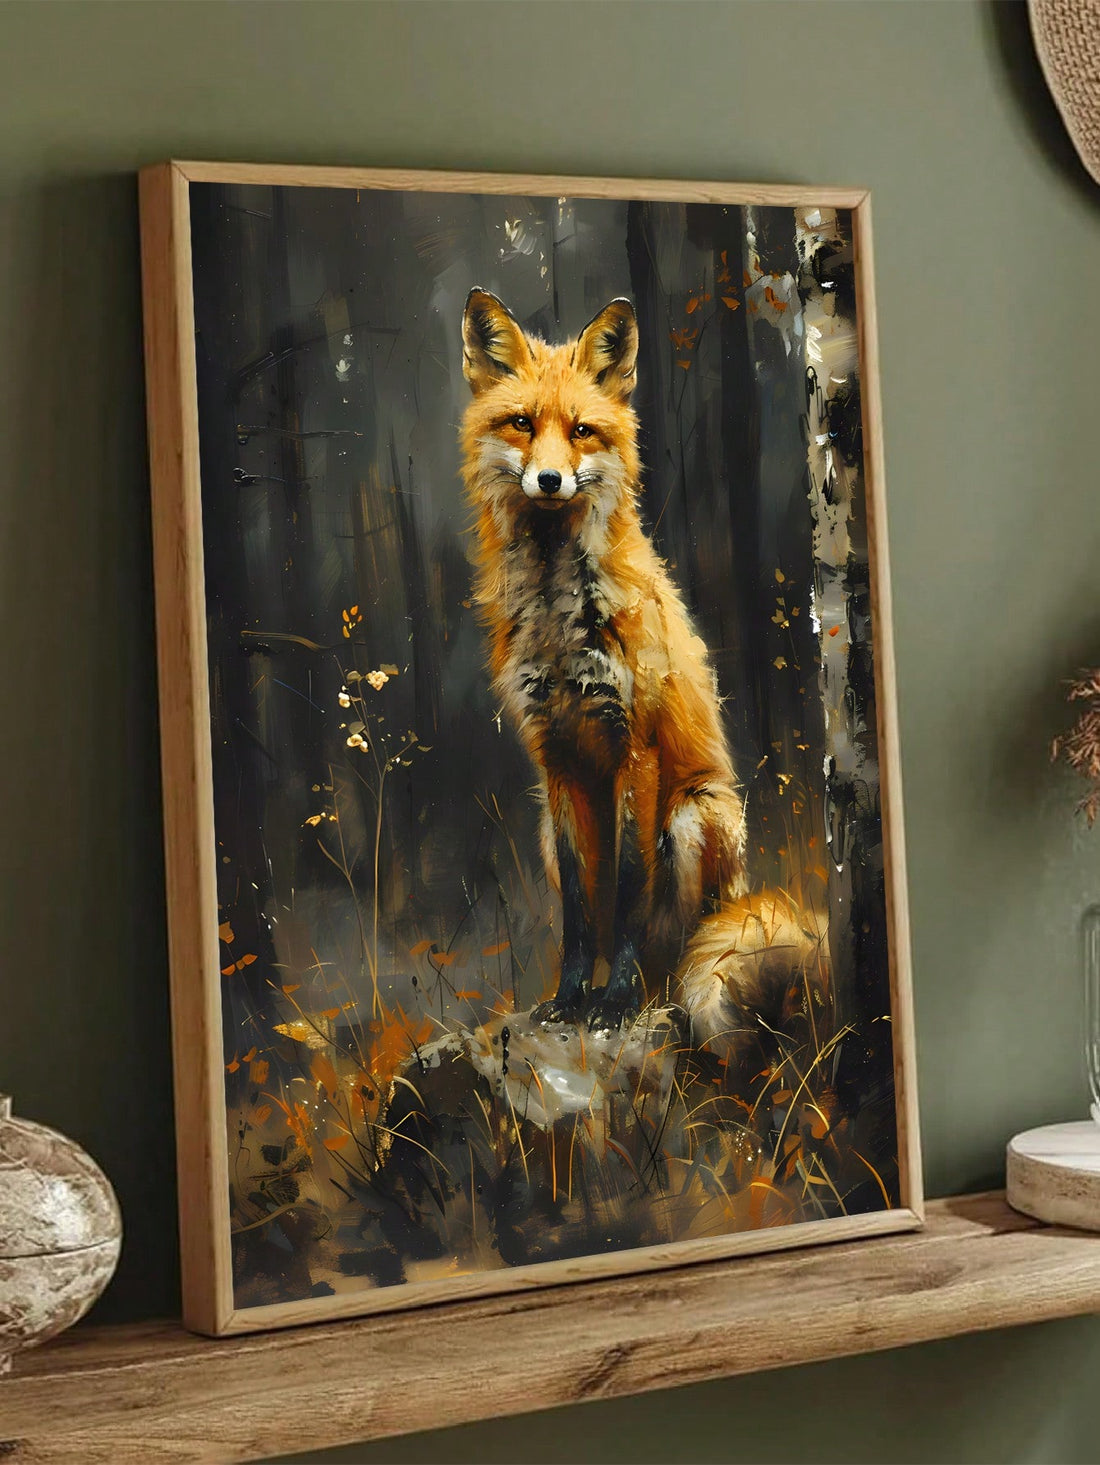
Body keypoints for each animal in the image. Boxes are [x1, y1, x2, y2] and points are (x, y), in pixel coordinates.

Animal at [459, 288, 825, 1055]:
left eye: (582, 431)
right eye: (522, 423)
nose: (549, 479)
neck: (558, 616)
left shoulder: (636, 746)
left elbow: (629, 889)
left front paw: (615, 1000)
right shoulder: (557, 759)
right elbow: (579, 906)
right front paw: (570, 998)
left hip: (694, 814)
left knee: (681, 947)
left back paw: (652, 991)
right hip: (548, 829)